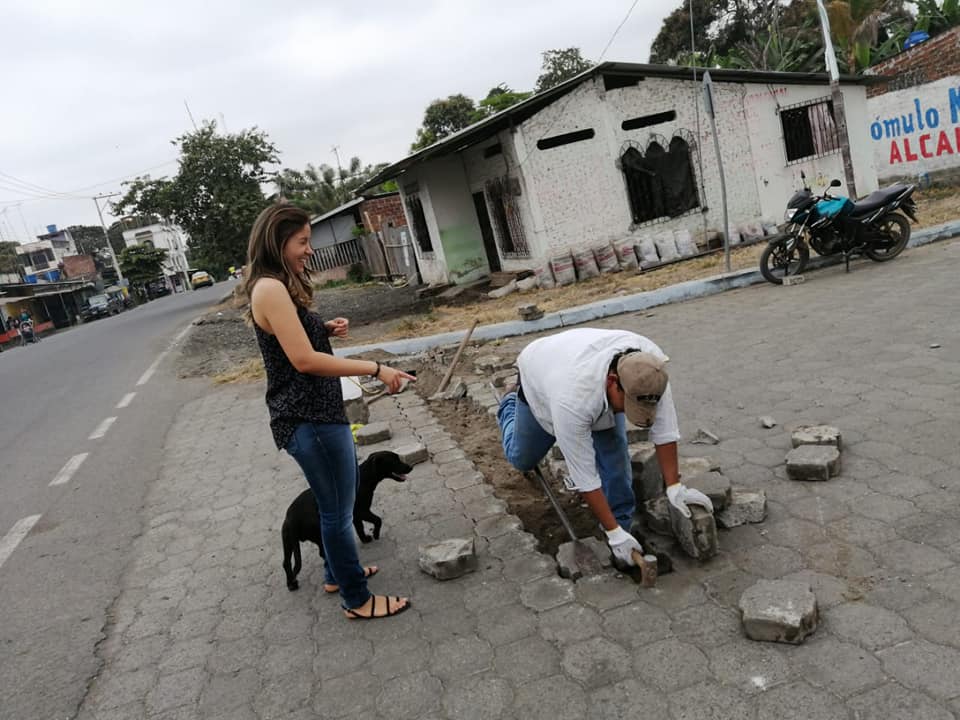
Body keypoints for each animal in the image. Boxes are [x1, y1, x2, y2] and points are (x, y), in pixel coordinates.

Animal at [281, 450, 412, 591]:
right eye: (394, 461)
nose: (410, 467)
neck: (365, 477)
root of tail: (292, 519)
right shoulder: (362, 511)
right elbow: (378, 520)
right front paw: (375, 534)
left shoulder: (355, 516)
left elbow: (360, 528)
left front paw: (365, 539)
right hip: (319, 532)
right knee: (323, 553)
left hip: (288, 542)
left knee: (286, 563)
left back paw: (291, 584)